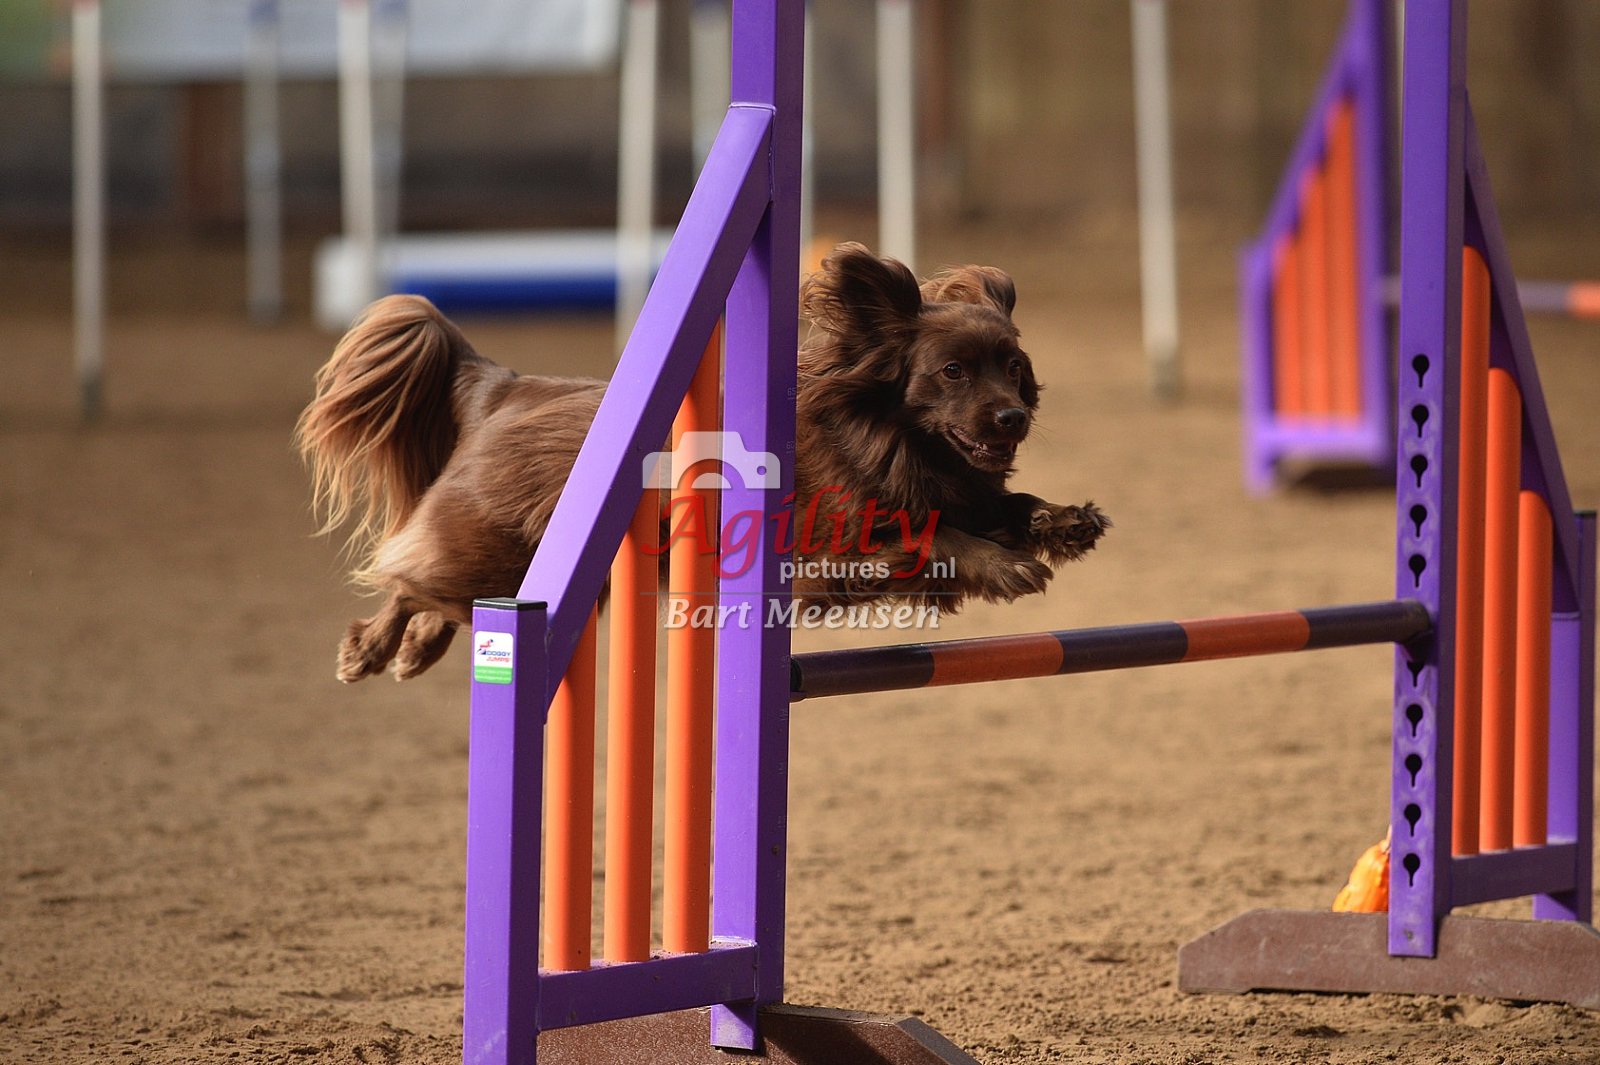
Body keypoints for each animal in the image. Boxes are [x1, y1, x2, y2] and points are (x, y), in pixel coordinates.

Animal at [296, 244, 1106, 682]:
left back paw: (415, 650)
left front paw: (1063, 521)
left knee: (436, 597)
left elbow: (1000, 507)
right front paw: (1005, 564)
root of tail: (504, 385)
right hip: (495, 554)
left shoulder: (962, 491)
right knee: (411, 580)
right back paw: (370, 649)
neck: (889, 438)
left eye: (1013, 368)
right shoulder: (819, 557)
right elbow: (932, 537)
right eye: (953, 372)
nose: (1013, 417)